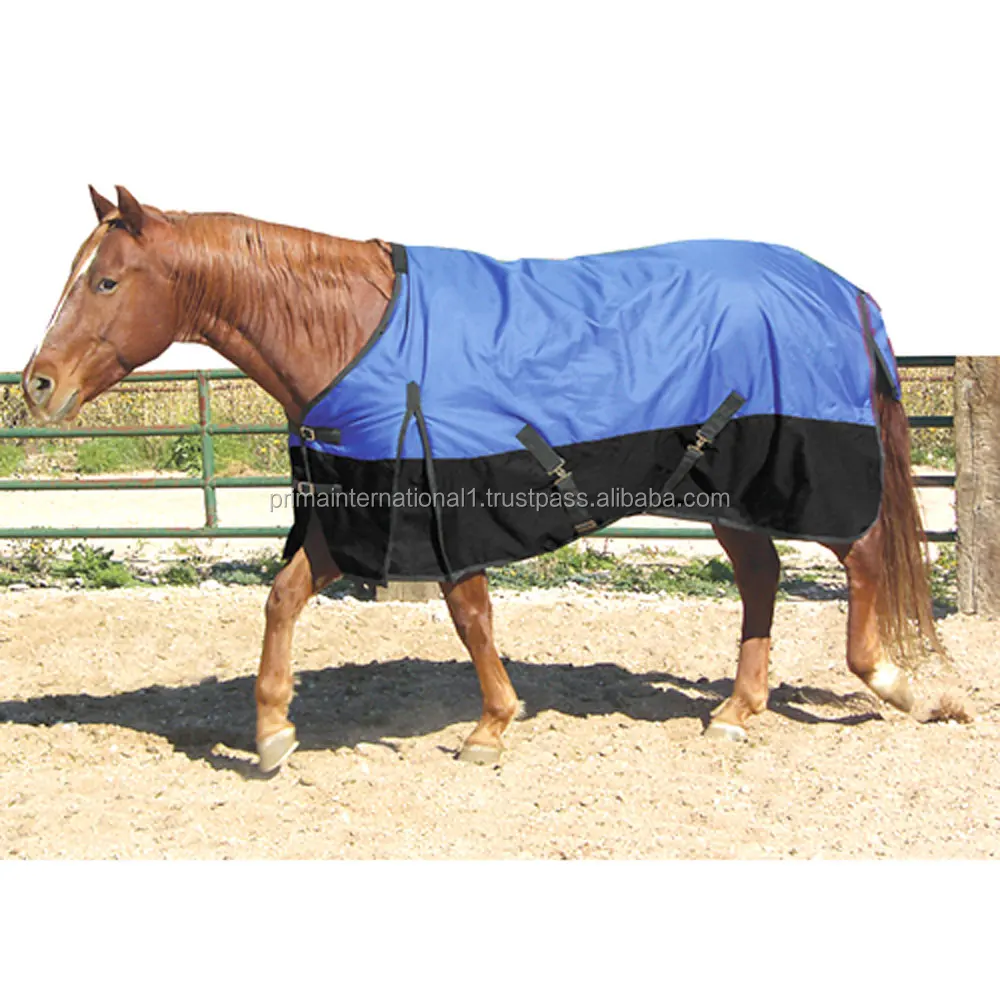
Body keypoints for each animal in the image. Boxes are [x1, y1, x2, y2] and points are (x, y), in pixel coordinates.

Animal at [23, 185, 943, 773]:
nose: (37, 385)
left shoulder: (441, 505)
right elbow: (282, 599)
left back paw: (901, 687)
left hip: (797, 474)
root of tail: (839, 288)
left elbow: (469, 616)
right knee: (762, 576)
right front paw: (274, 731)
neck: (354, 333)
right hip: (723, 491)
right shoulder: (358, 512)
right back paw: (736, 712)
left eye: (106, 280)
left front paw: (491, 727)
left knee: (861, 558)